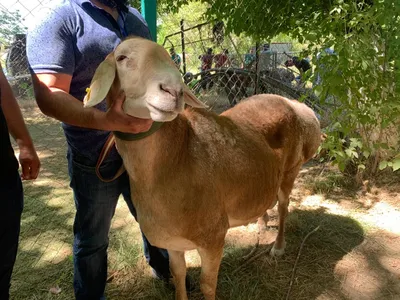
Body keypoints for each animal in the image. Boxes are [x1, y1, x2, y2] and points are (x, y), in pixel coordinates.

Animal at [83, 37, 322, 300]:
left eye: (169, 58)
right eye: (121, 58)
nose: (173, 91)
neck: (176, 160)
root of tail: (296, 105)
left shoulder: (213, 237)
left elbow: (208, 285)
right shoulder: (173, 242)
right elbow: (178, 275)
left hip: (291, 170)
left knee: (284, 206)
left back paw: (278, 247)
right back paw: (261, 222)